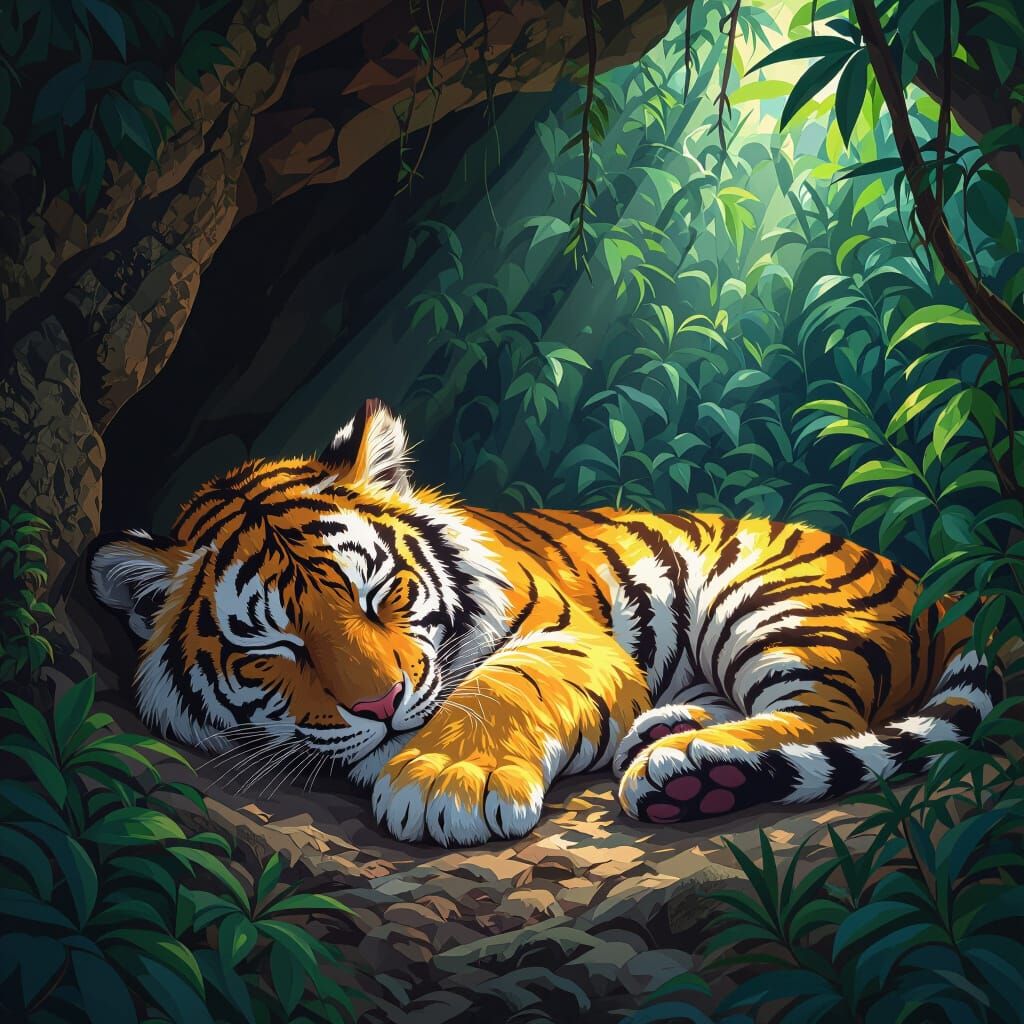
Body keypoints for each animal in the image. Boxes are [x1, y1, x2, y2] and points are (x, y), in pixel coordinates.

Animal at [90, 398, 1003, 846]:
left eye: (380, 592)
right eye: (275, 644)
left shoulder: (571, 636)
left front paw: (446, 783)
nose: (382, 706)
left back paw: (686, 765)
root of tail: (935, 586)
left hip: (769, 604)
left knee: (825, 716)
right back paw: (671, 732)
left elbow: (500, 686)